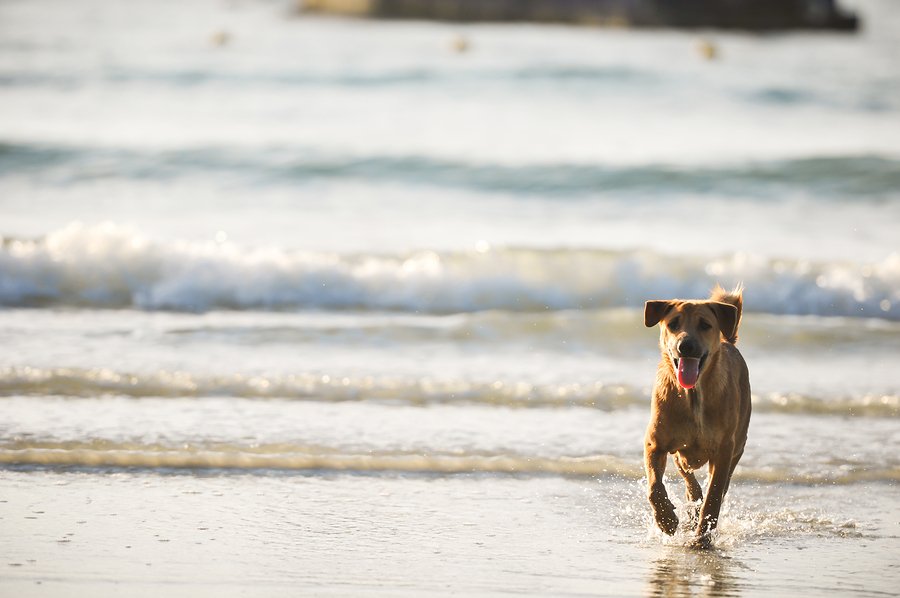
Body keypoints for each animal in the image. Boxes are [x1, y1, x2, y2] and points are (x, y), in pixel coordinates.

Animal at [644, 286, 748, 548]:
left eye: (704, 325)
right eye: (673, 323)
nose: (686, 346)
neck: (693, 395)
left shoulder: (724, 450)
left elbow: (714, 496)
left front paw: (702, 538)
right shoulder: (655, 443)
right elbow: (654, 487)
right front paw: (666, 520)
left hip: (738, 445)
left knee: (719, 487)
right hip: (681, 454)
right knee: (688, 476)